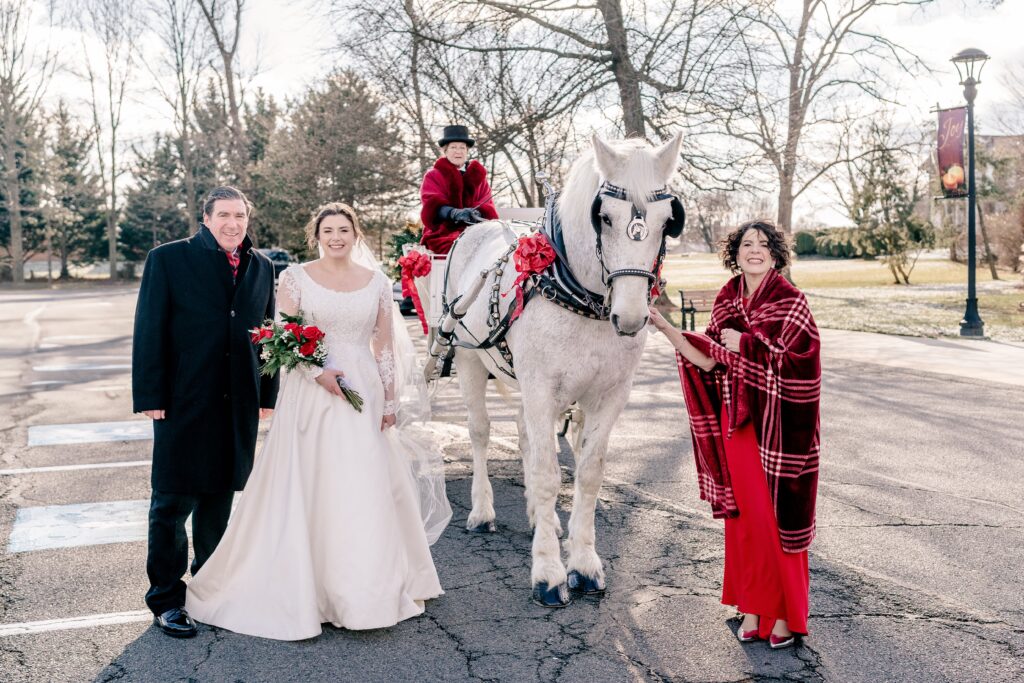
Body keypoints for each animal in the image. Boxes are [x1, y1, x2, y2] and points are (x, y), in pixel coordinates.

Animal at [419, 132, 684, 602]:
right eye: (605, 218)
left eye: (667, 220)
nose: (632, 317)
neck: (579, 296)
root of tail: (481, 226)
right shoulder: (541, 388)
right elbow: (546, 475)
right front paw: (548, 571)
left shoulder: (610, 395)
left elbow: (588, 474)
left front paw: (583, 564)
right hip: (467, 357)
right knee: (481, 432)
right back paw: (482, 511)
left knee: (524, 435)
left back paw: (535, 518)